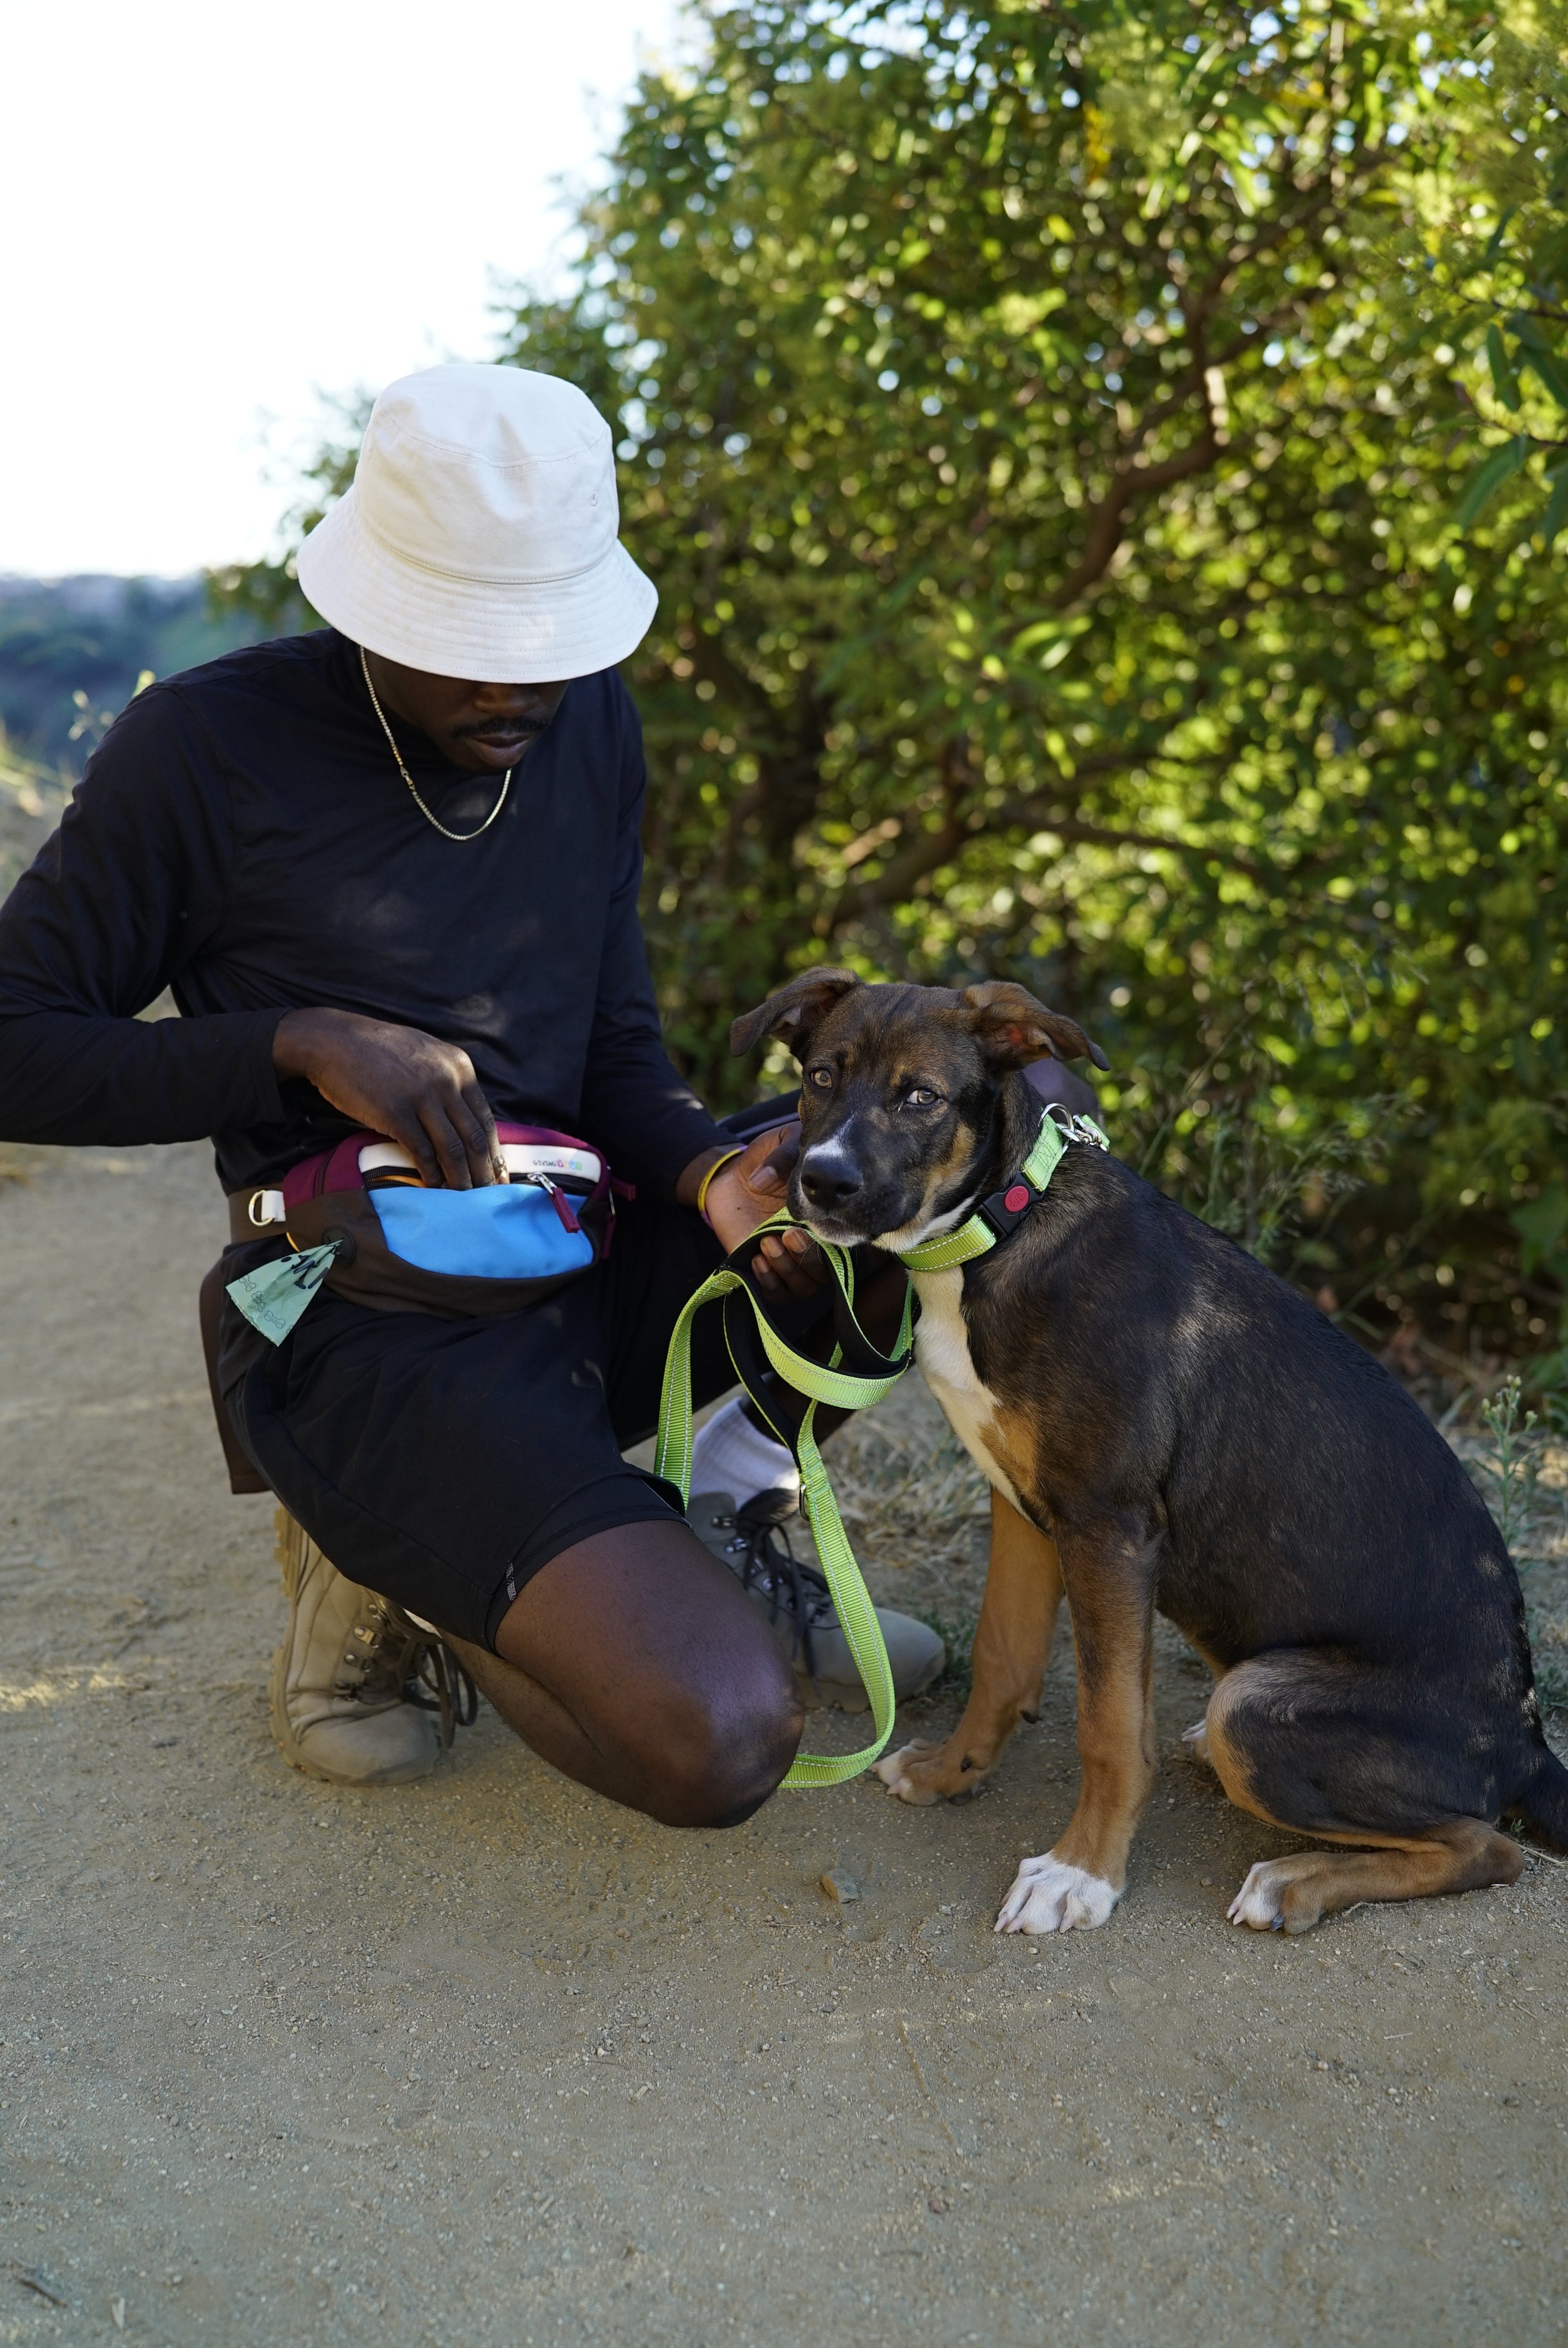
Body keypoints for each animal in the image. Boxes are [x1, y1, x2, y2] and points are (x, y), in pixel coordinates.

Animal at [737, 962, 1568, 1934]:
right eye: (820, 1076)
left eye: (920, 1097)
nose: (820, 1182)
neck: (999, 1231)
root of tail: (1526, 1742)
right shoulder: (1022, 1504)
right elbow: (1002, 1658)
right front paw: (951, 1774)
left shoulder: (1108, 1524)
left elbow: (1108, 1727)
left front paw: (1079, 1875)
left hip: (1255, 1703)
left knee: (1490, 1846)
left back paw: (1293, 1882)